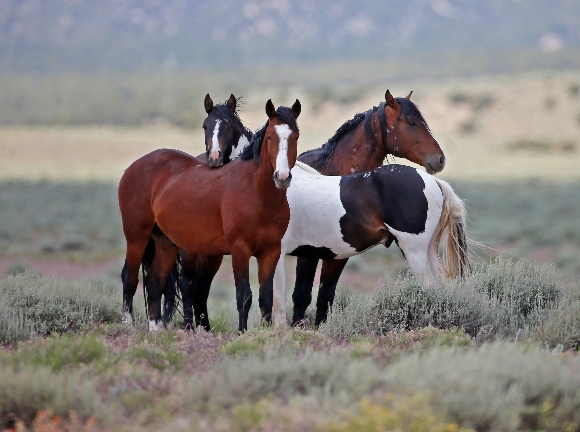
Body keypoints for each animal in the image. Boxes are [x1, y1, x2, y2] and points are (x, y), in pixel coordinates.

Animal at [116, 100, 300, 330]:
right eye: (269, 136)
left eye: (295, 136)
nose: (282, 176)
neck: (257, 193)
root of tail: (133, 167)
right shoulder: (240, 250)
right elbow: (244, 295)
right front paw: (242, 332)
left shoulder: (270, 251)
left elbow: (265, 298)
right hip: (137, 237)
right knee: (129, 278)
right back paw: (128, 326)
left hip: (166, 244)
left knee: (154, 282)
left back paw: (157, 330)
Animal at [176, 89, 444, 330]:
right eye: (411, 123)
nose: (439, 159)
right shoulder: (304, 253)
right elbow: (297, 296)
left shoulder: (331, 254)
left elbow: (320, 296)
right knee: (189, 286)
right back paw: (191, 328)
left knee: (199, 289)